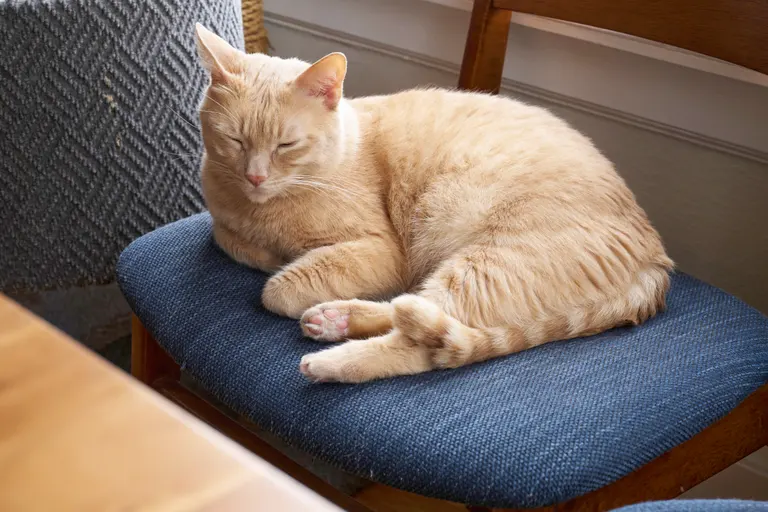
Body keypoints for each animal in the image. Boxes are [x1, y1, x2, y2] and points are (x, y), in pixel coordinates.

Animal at [194, 25, 672, 384]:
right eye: (235, 140)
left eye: (286, 145)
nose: (255, 176)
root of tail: (655, 259)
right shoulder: (225, 227)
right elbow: (232, 241)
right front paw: (266, 252)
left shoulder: (383, 251)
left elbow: (276, 290)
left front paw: (281, 271)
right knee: (411, 312)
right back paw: (334, 319)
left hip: (484, 264)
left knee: (422, 341)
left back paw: (330, 357)